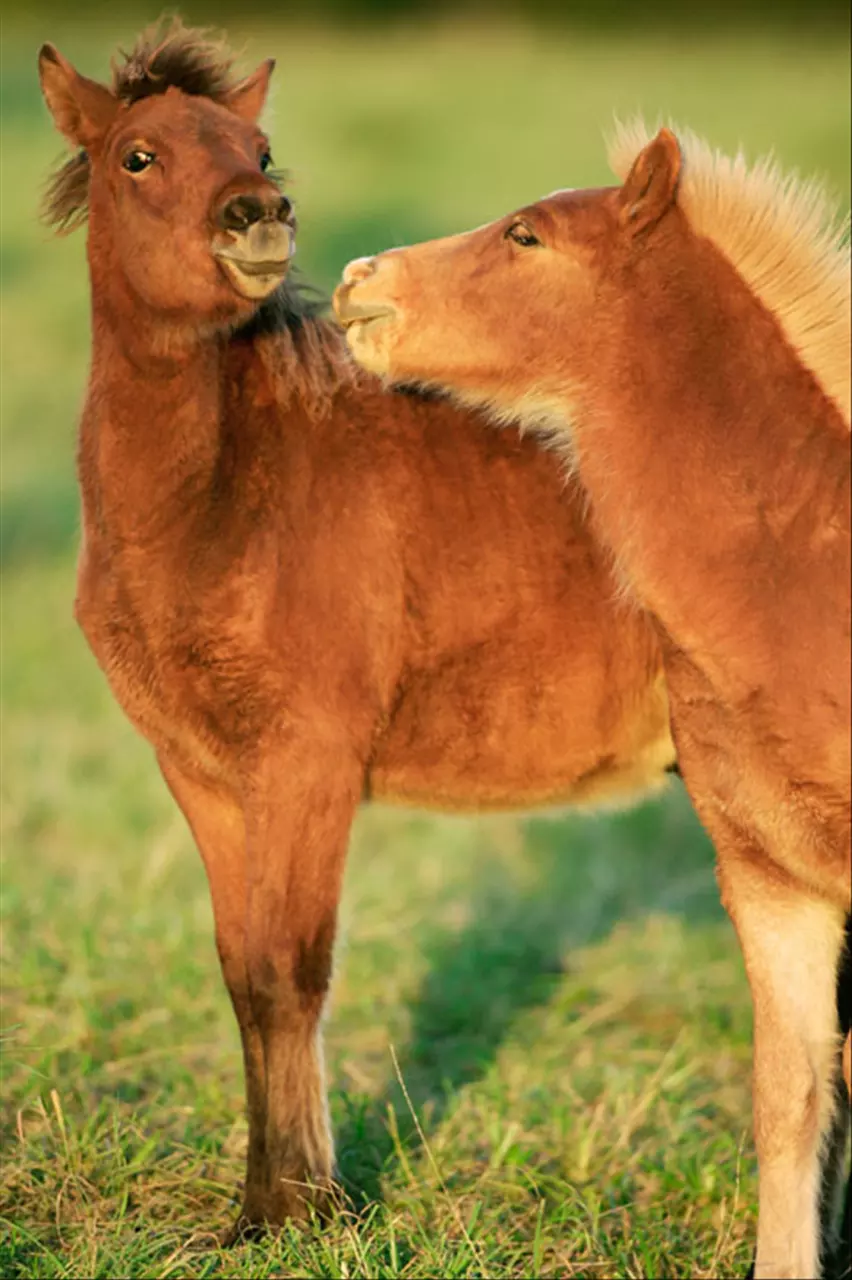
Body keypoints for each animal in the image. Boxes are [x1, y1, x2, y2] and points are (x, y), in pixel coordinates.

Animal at [39, 24, 675, 1233]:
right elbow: (245, 978)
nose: (258, 216)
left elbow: (294, 972)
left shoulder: (309, 762)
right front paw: (267, 1202)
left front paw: (303, 1209)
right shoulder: (203, 774)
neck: (229, 496)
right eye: (139, 156)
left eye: (258, 148)